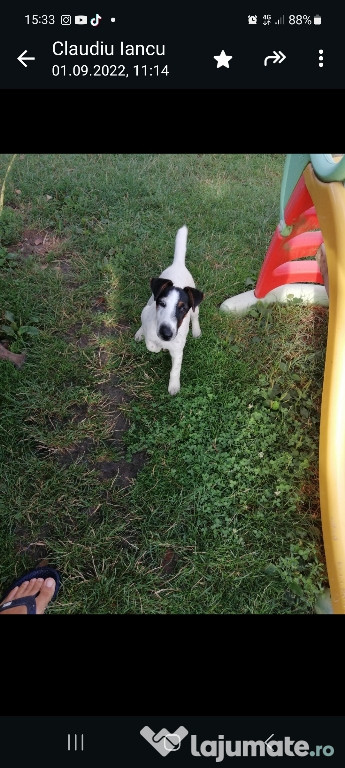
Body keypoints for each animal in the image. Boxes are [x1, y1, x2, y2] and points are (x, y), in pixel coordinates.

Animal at [134, 225, 204, 396]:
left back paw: (196, 331)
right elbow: (151, 345)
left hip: (195, 309)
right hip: (149, 301)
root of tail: (178, 264)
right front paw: (156, 345)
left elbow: (175, 370)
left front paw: (174, 386)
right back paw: (139, 333)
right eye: (162, 303)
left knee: (195, 317)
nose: (166, 334)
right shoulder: (150, 318)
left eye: (182, 308)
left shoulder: (178, 351)